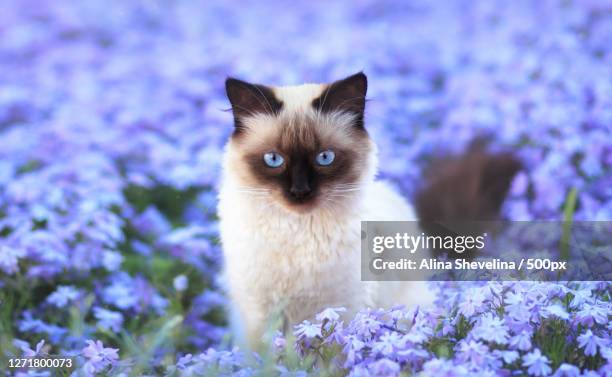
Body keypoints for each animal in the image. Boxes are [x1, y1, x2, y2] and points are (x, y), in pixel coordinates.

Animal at [218, 71, 520, 346]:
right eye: (273, 159)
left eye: (325, 158)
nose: (300, 192)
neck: (298, 232)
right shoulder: (260, 315)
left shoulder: (341, 308)